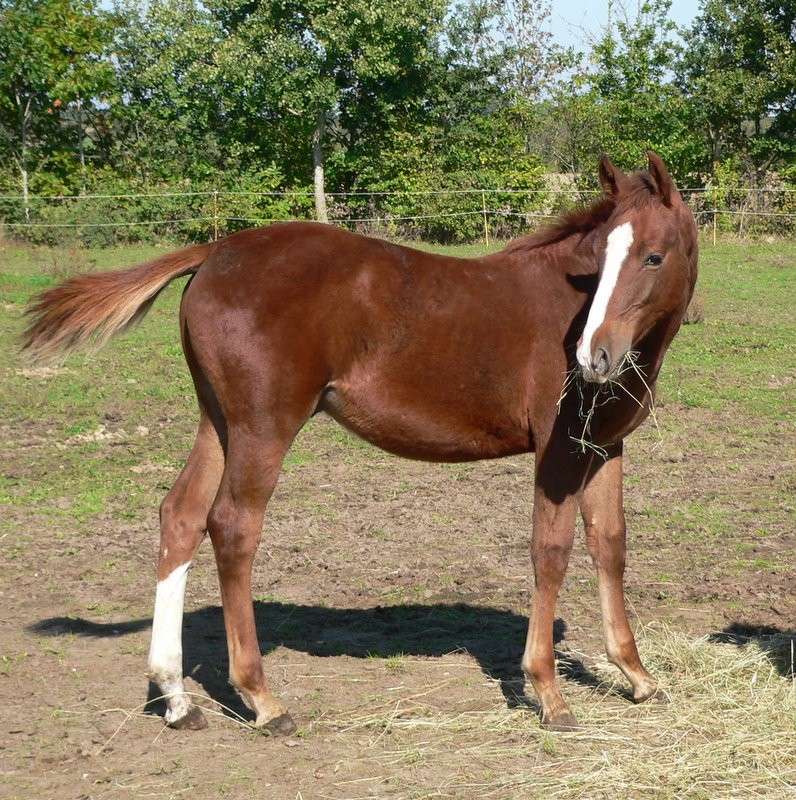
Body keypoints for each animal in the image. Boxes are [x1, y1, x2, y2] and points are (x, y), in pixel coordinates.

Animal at [21, 152, 696, 732]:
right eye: (601, 259)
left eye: (652, 257)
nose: (592, 357)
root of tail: (216, 249)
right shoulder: (558, 454)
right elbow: (550, 552)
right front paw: (549, 694)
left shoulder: (603, 449)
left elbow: (609, 545)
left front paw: (638, 676)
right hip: (264, 427)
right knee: (232, 526)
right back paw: (263, 698)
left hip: (219, 421)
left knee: (181, 516)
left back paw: (177, 699)